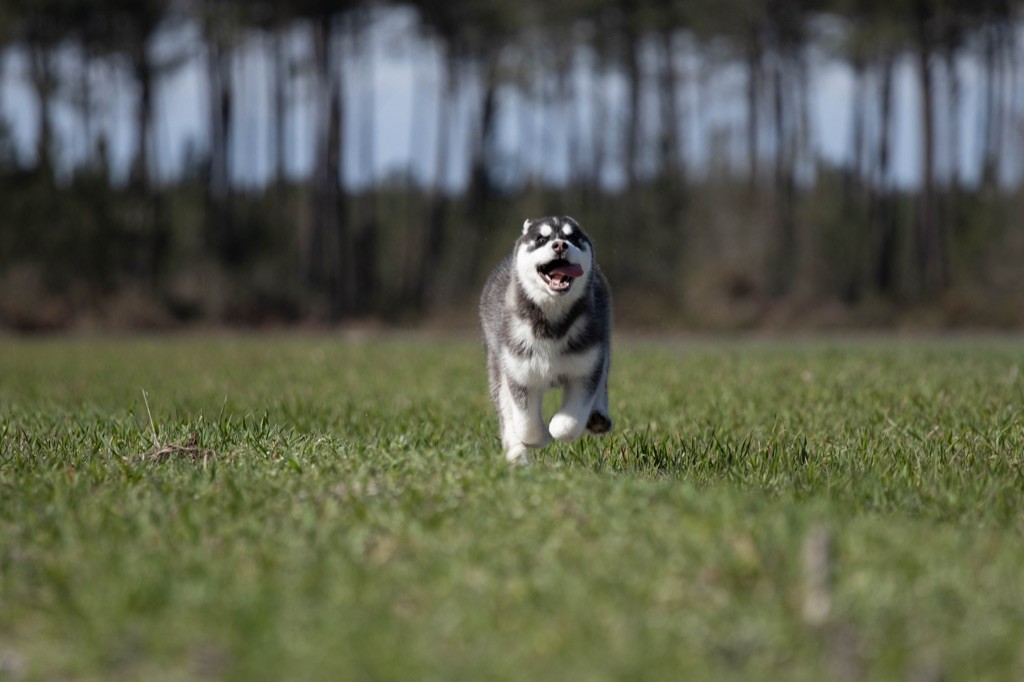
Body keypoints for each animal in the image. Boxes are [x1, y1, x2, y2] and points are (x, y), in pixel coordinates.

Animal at [479, 215, 612, 464]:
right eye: (541, 238)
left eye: (572, 237)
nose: (560, 245)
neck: (552, 323)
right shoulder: (519, 372)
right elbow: (525, 424)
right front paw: (539, 438)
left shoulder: (585, 367)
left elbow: (569, 423)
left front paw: (557, 427)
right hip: (498, 362)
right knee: (506, 410)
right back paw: (517, 456)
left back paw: (598, 417)